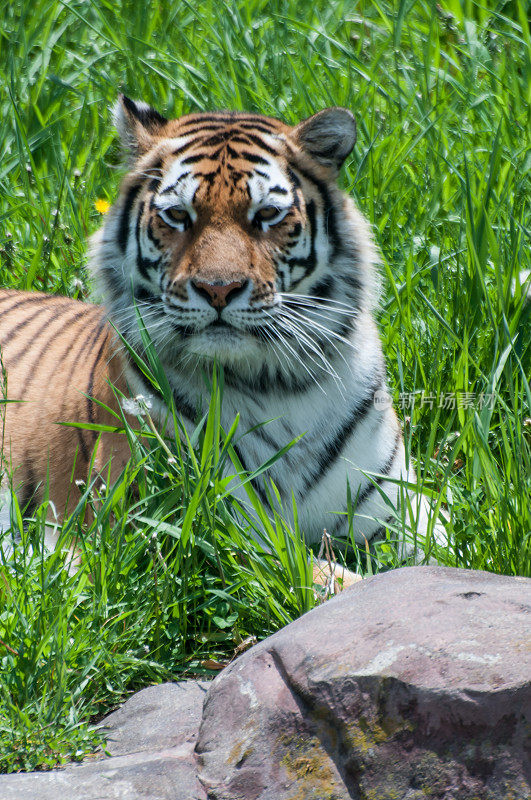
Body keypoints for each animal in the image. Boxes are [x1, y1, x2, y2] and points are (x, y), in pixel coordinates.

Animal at [1, 98, 444, 564]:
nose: (218, 289)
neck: (279, 387)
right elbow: (324, 573)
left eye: (266, 214)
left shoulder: (403, 514)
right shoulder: (208, 531)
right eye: (178, 215)